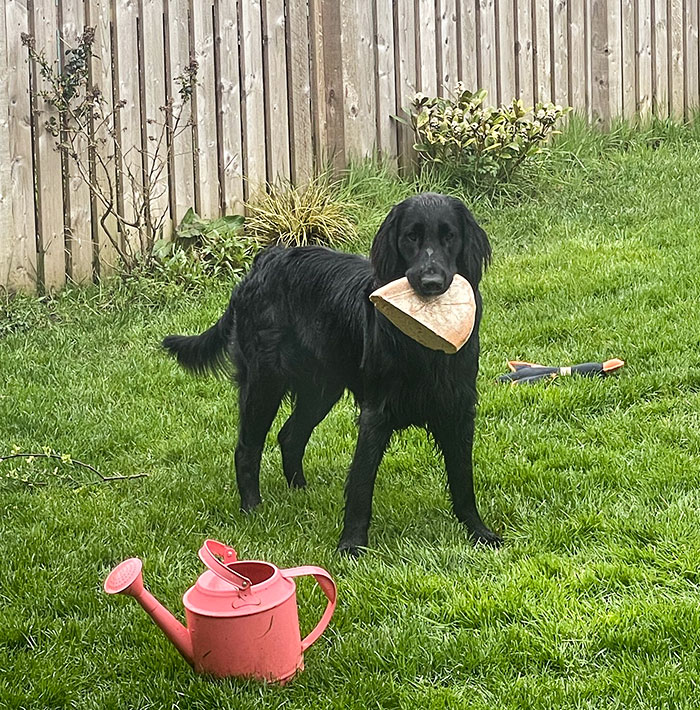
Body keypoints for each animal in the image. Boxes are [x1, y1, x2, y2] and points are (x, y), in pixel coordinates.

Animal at [161, 195, 500, 556]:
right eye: (411, 236)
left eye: (450, 237)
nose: (431, 284)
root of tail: (264, 260)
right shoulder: (376, 413)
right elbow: (362, 481)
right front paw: (352, 543)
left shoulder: (459, 408)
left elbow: (463, 478)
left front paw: (479, 531)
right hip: (265, 382)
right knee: (247, 448)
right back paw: (252, 507)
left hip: (320, 388)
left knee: (290, 435)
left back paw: (301, 491)